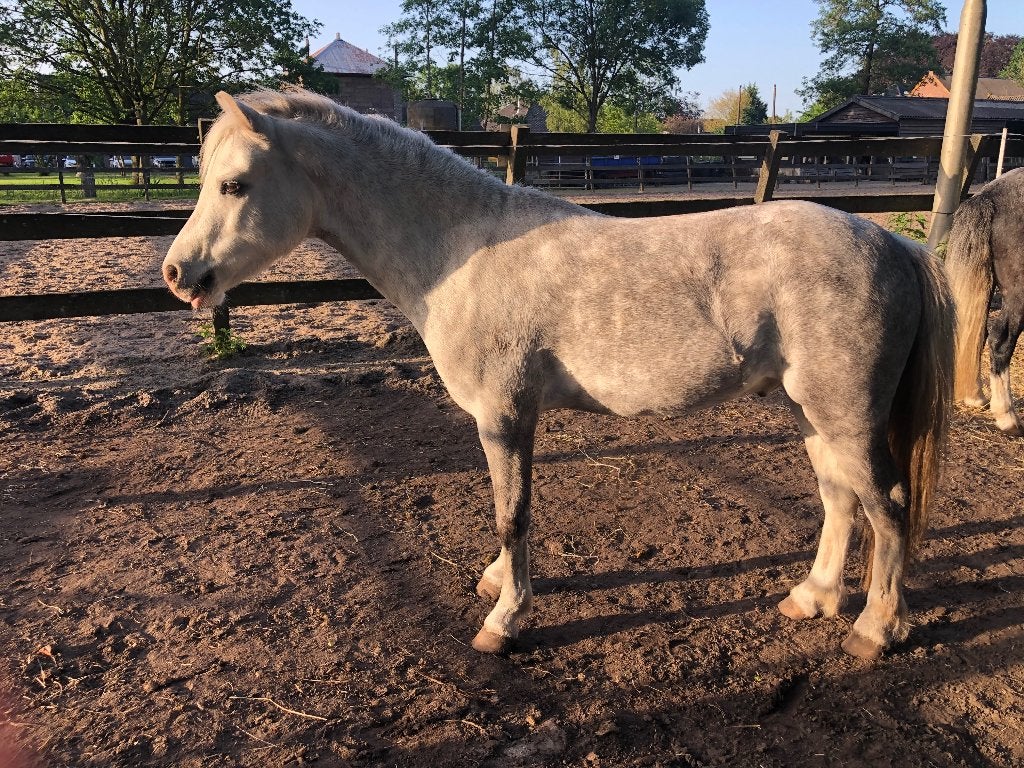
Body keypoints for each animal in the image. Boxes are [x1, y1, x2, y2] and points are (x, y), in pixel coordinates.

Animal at [162, 88, 955, 661]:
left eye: (234, 184)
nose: (177, 274)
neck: (464, 251)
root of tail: (892, 242)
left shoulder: (505, 416)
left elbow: (511, 514)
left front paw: (505, 618)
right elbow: (509, 515)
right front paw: (496, 582)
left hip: (846, 415)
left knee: (886, 505)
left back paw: (874, 630)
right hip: (813, 412)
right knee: (840, 498)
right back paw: (812, 597)